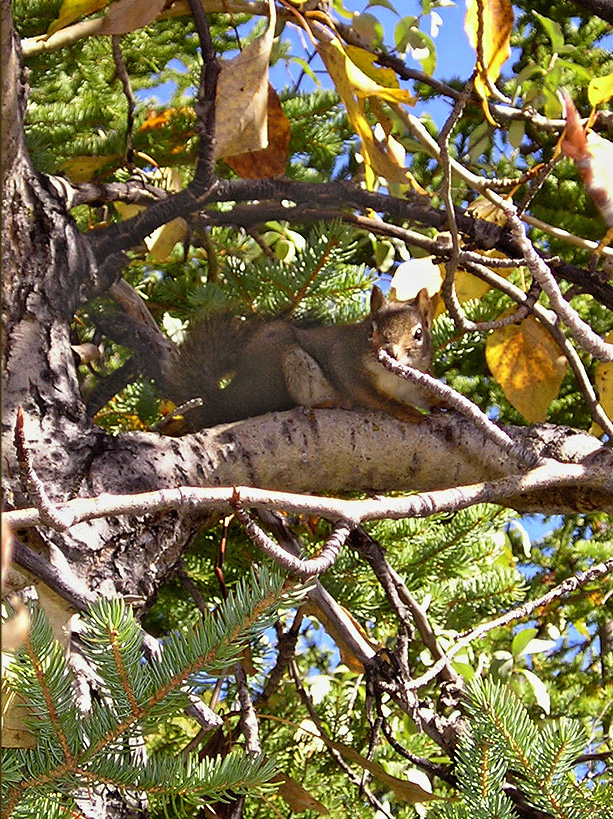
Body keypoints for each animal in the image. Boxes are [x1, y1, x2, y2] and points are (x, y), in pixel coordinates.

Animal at [163, 286, 436, 432]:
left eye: (418, 333)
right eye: (371, 330)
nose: (390, 353)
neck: (393, 379)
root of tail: (231, 398)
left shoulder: (414, 383)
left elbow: (425, 395)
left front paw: (442, 402)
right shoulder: (346, 366)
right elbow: (376, 398)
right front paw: (406, 411)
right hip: (284, 362)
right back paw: (331, 403)